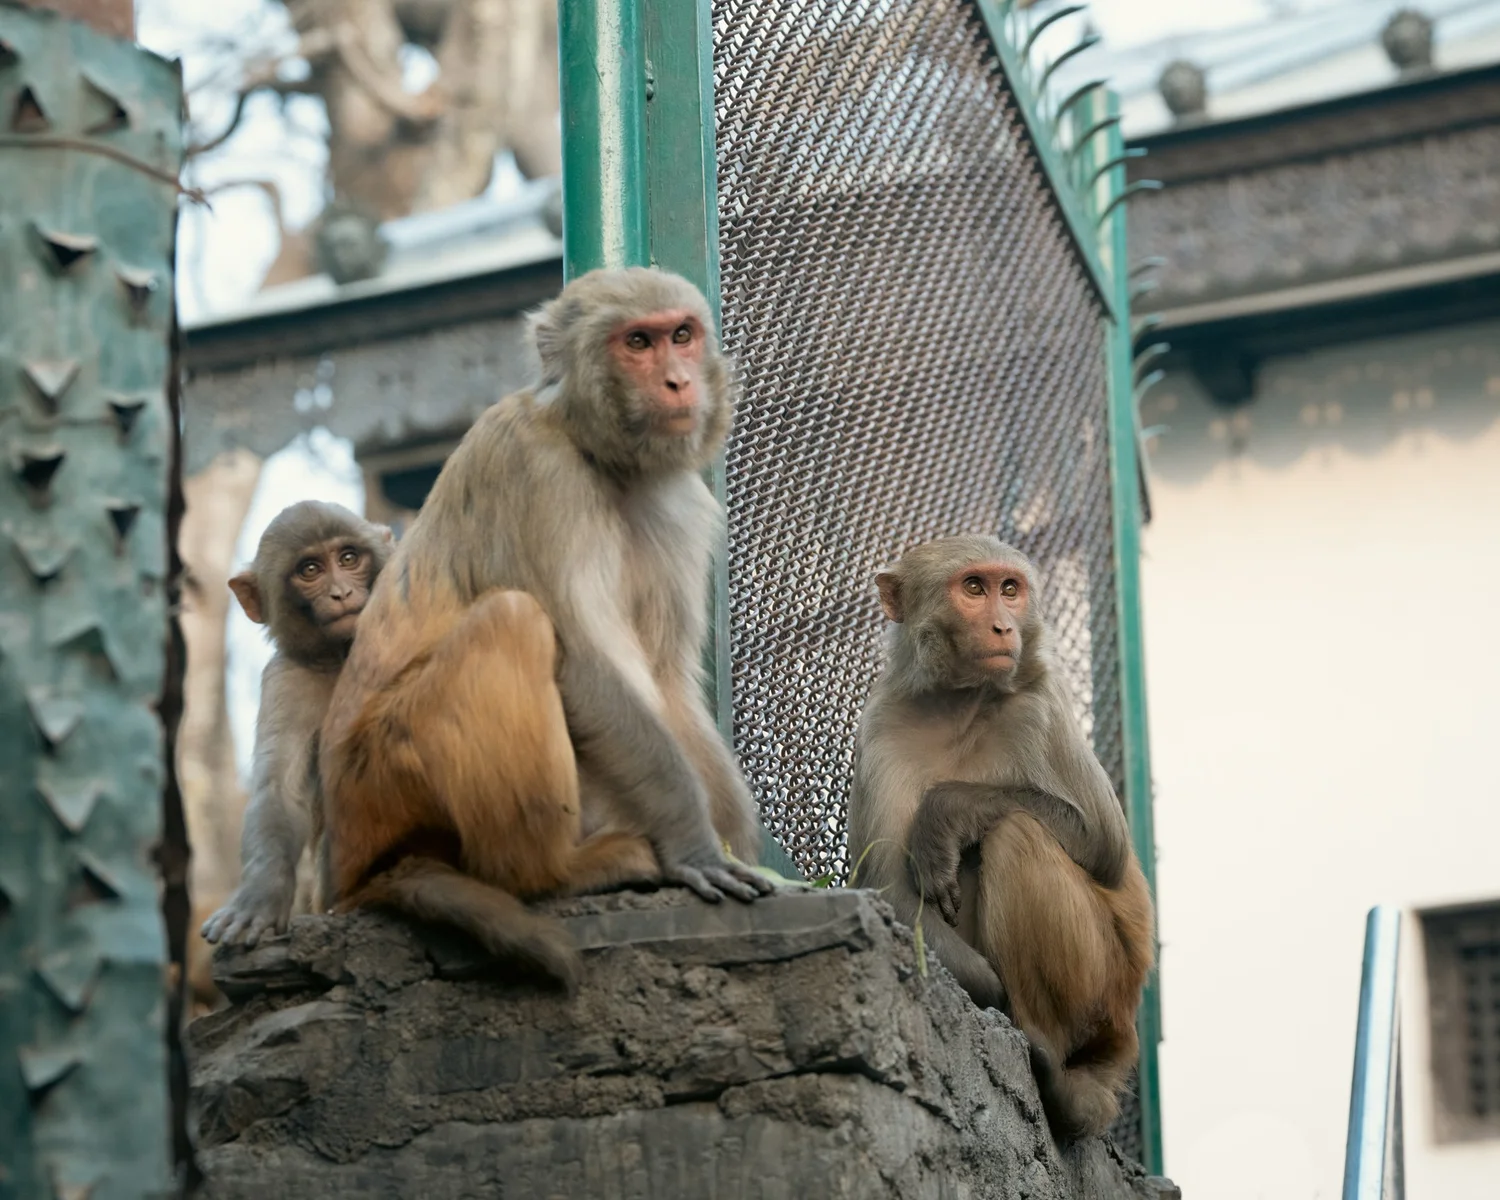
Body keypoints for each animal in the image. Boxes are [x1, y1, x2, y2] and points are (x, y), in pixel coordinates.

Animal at [200, 500, 393, 950]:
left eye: (348, 558)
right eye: (310, 570)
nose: (341, 593)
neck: (342, 657)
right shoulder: (287, 678)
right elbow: (279, 791)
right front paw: (260, 897)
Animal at [318, 265, 774, 995]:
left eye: (681, 334)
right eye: (637, 343)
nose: (679, 381)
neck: (595, 451)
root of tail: (353, 871)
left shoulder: (674, 500)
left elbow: (667, 677)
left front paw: (737, 839)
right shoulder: (535, 471)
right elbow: (585, 661)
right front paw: (694, 841)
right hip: (384, 779)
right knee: (512, 621)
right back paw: (553, 873)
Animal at [846, 534, 1154, 1142]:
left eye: (1009, 589)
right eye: (973, 588)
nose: (1003, 627)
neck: (960, 701)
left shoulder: (1042, 704)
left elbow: (1106, 846)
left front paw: (947, 813)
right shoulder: (882, 724)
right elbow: (891, 890)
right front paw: (982, 988)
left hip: (1104, 986)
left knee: (1016, 834)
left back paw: (1048, 1061)